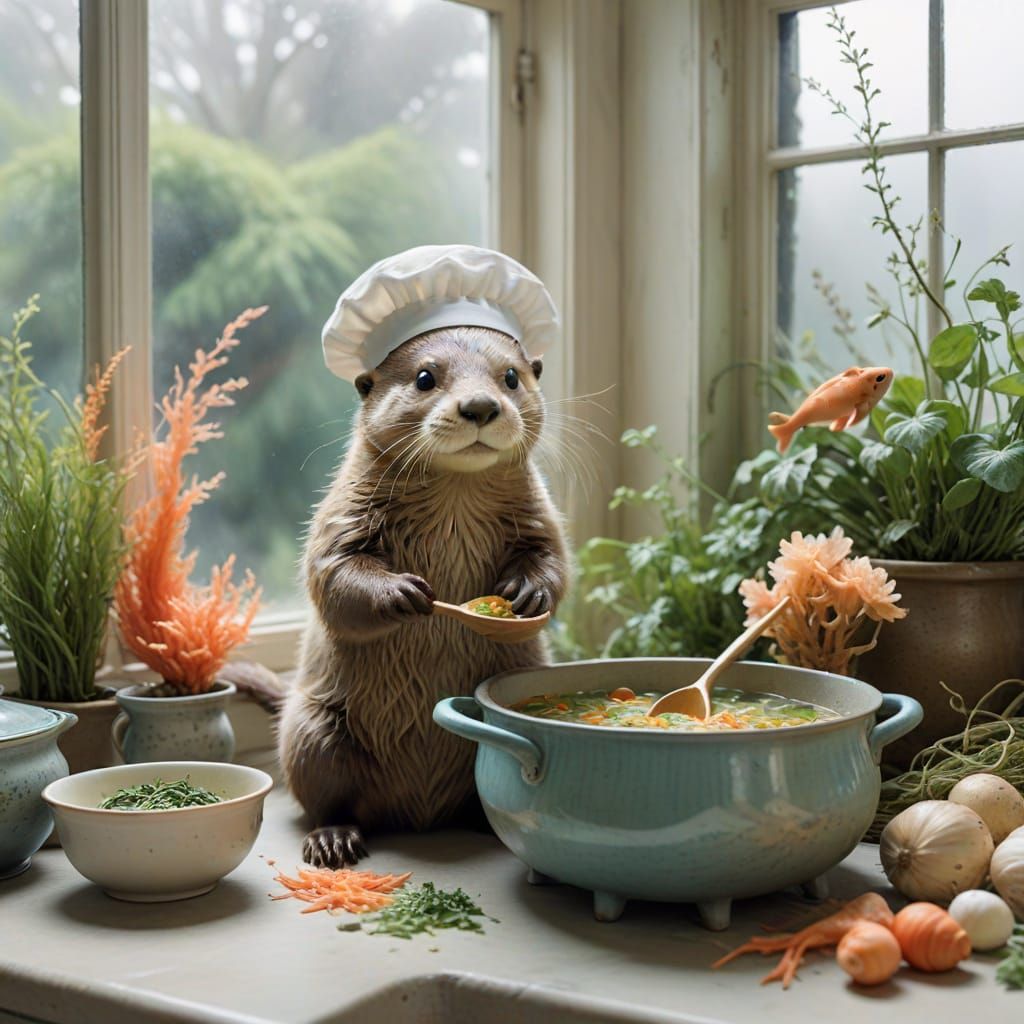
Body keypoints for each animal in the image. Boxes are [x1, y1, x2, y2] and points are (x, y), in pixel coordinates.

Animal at [278, 325, 570, 867]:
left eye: (511, 376)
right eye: (424, 377)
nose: (479, 405)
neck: (454, 505)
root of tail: (418, 816)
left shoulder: (541, 514)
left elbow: (555, 560)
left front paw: (528, 592)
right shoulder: (342, 512)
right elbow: (332, 574)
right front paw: (401, 592)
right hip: (313, 733)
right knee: (323, 798)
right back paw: (333, 839)